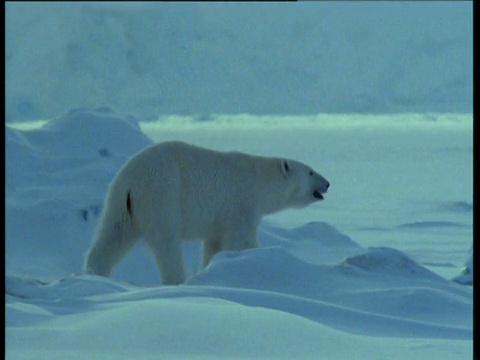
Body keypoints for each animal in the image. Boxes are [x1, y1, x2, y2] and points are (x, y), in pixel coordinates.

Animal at [83, 141, 330, 284]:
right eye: (310, 172)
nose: (327, 183)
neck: (259, 180)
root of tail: (131, 180)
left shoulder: (219, 217)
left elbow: (214, 244)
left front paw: (211, 266)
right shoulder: (241, 202)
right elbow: (242, 239)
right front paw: (256, 258)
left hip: (121, 203)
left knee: (113, 235)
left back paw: (95, 272)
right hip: (162, 195)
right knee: (167, 242)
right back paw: (177, 280)